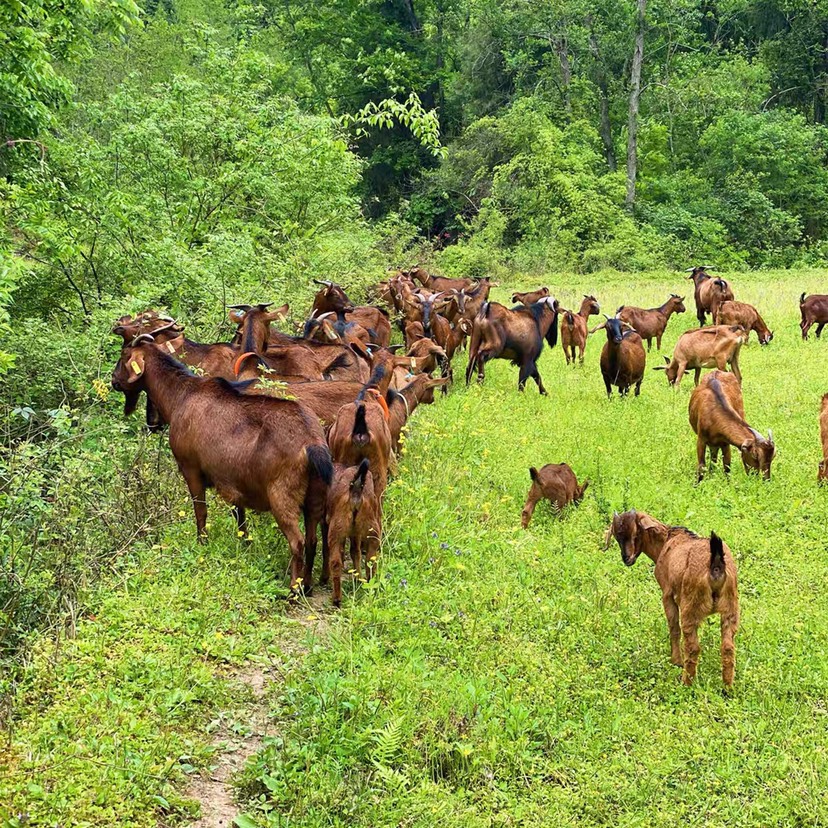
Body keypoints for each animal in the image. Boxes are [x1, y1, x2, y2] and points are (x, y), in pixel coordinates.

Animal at [111, 334, 334, 600]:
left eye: (123, 356)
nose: (114, 381)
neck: (181, 395)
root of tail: (312, 443)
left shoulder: (191, 468)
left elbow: (201, 511)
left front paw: (202, 543)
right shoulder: (234, 480)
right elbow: (240, 516)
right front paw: (245, 544)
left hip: (282, 494)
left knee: (297, 541)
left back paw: (293, 589)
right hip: (315, 496)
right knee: (312, 540)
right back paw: (307, 585)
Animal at [600, 512, 736, 684]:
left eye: (636, 533)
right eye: (617, 537)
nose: (627, 558)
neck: (666, 541)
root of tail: (716, 565)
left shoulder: (667, 594)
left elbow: (674, 627)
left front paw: (676, 661)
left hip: (691, 605)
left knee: (693, 646)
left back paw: (685, 682)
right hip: (730, 606)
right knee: (728, 647)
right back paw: (727, 687)